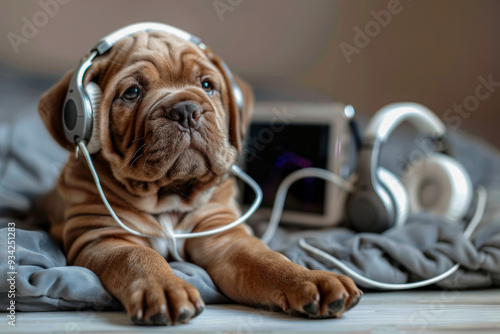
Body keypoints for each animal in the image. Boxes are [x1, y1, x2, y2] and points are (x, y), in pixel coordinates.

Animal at [38, 30, 360, 324]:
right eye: (132, 92)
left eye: (207, 85)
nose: (185, 110)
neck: (169, 195)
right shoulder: (102, 237)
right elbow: (138, 257)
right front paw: (164, 288)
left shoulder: (225, 236)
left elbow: (269, 260)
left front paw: (311, 278)